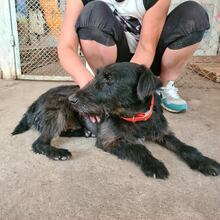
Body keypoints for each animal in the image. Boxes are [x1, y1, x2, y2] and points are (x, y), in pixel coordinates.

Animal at [12, 62, 220, 179]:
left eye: (109, 79)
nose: (73, 99)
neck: (136, 117)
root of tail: (35, 102)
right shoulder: (109, 141)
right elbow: (139, 148)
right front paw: (154, 164)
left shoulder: (163, 133)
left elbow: (186, 147)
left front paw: (205, 162)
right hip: (57, 111)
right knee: (39, 142)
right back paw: (57, 151)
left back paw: (84, 132)